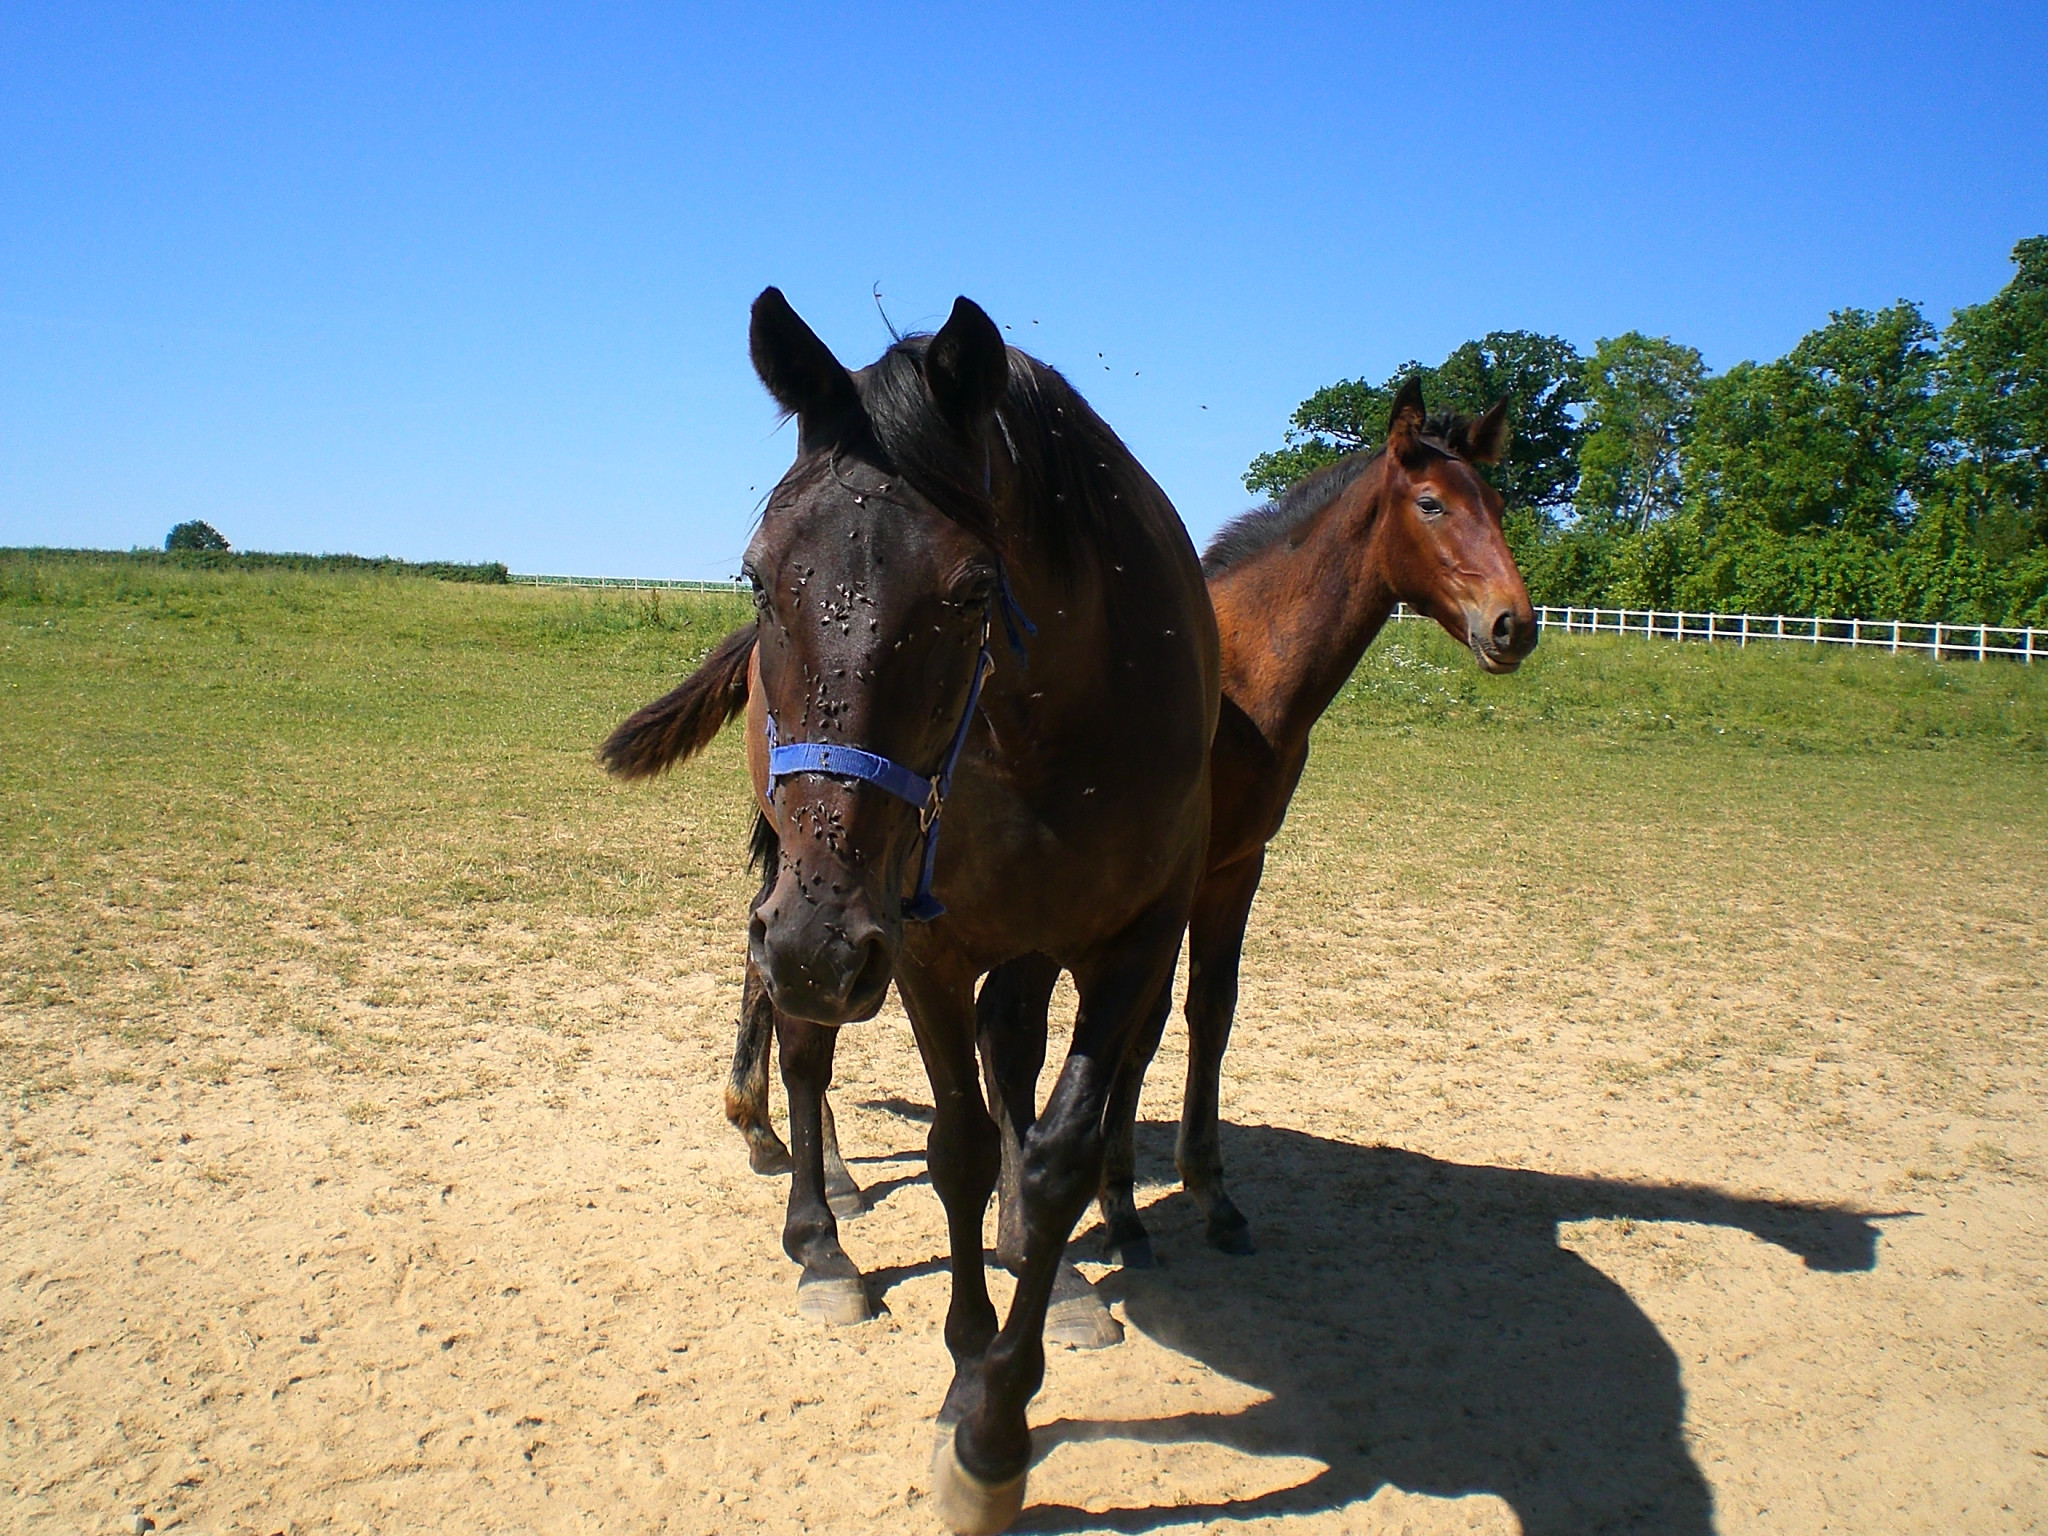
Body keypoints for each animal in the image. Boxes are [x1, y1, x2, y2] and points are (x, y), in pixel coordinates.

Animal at [602, 290, 1212, 1536]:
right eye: (756, 577)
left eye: (973, 590)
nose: (820, 945)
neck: (1051, 728)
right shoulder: (923, 944)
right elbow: (956, 1151)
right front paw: (966, 1385)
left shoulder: (1130, 941)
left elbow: (1052, 1153)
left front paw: (997, 1422)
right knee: (801, 1043)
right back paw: (819, 1231)